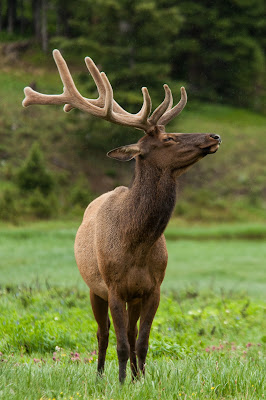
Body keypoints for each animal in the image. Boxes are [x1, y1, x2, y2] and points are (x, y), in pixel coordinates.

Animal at [22, 49, 221, 382]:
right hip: (94, 288)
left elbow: (141, 340)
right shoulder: (114, 287)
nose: (214, 136)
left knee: (128, 331)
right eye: (168, 139)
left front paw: (141, 380)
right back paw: (101, 375)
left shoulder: (153, 288)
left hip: (132, 297)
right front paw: (121, 382)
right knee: (102, 334)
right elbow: (121, 343)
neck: (136, 244)